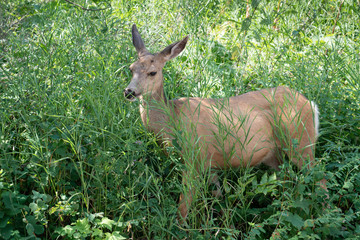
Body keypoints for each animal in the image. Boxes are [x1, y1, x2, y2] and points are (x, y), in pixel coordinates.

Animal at [124, 24, 324, 221]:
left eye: (152, 72)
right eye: (131, 68)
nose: (129, 91)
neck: (173, 120)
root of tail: (310, 104)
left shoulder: (194, 158)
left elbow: (183, 207)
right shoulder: (210, 164)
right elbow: (218, 196)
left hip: (301, 141)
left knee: (320, 178)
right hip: (275, 154)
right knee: (287, 179)